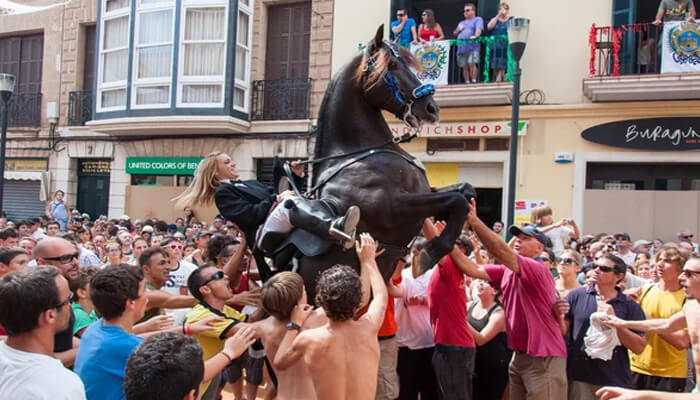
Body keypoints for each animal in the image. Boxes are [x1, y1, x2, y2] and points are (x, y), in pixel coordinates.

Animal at [296, 25, 470, 300]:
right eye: (393, 66)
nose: (431, 108)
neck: (356, 154)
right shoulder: (393, 207)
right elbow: (457, 200)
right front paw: (429, 253)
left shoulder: (424, 194)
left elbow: (463, 191)